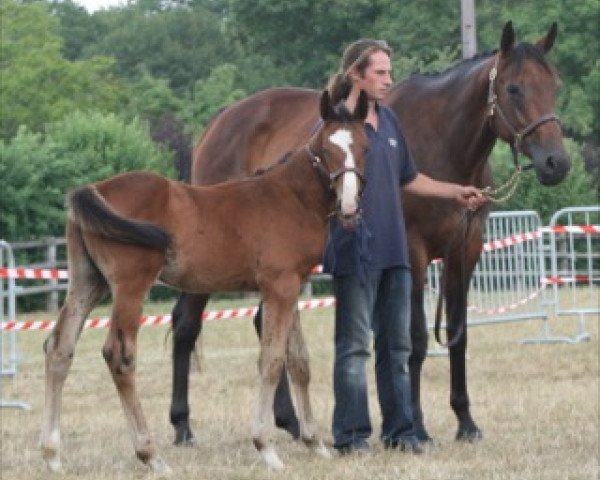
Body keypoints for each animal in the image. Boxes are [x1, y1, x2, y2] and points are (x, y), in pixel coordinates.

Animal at [38, 90, 370, 472]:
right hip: (129, 285)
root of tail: (92, 190)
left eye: (364, 146)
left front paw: (315, 443)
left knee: (59, 347)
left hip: (87, 281)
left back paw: (52, 456)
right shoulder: (280, 286)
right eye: (326, 149)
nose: (350, 205)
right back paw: (151, 456)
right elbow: (271, 361)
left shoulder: (292, 286)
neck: (289, 197)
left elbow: (298, 360)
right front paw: (266, 448)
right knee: (119, 357)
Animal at [168, 18, 568, 446]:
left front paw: (466, 422)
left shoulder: (466, 250)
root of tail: (220, 122)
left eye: (553, 84)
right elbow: (414, 340)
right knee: (186, 325)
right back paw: (183, 426)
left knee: (266, 325)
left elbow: (458, 335)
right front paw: (417, 428)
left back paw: (289, 422)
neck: (442, 141)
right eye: (514, 88)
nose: (556, 163)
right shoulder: (413, 253)